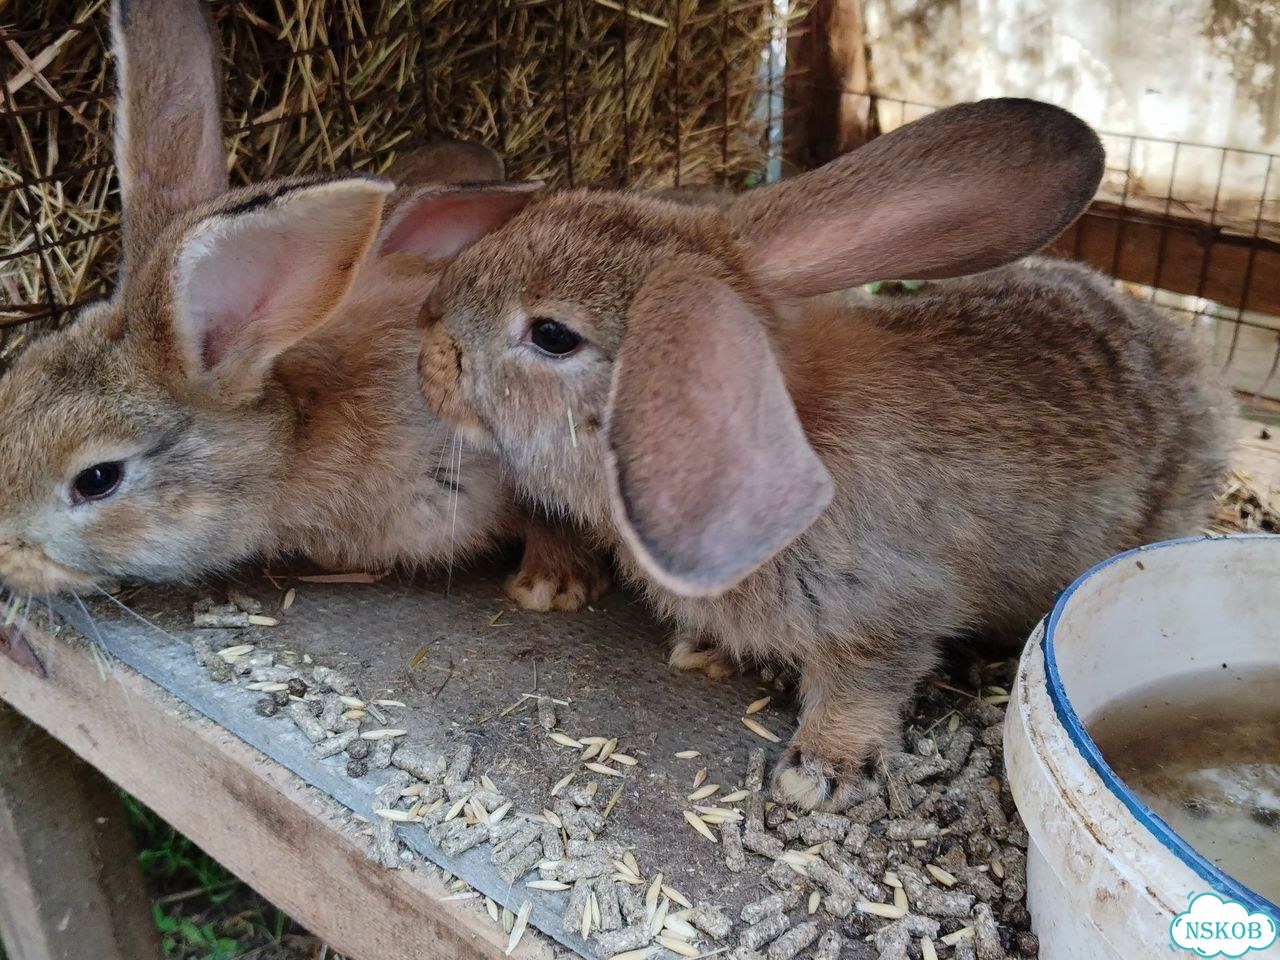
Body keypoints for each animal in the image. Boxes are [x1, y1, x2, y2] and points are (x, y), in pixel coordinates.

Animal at [397, 98, 1229, 809]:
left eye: (551, 335)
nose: (428, 333)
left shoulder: (888, 609)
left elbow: (865, 684)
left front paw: (818, 772)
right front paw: (707, 652)